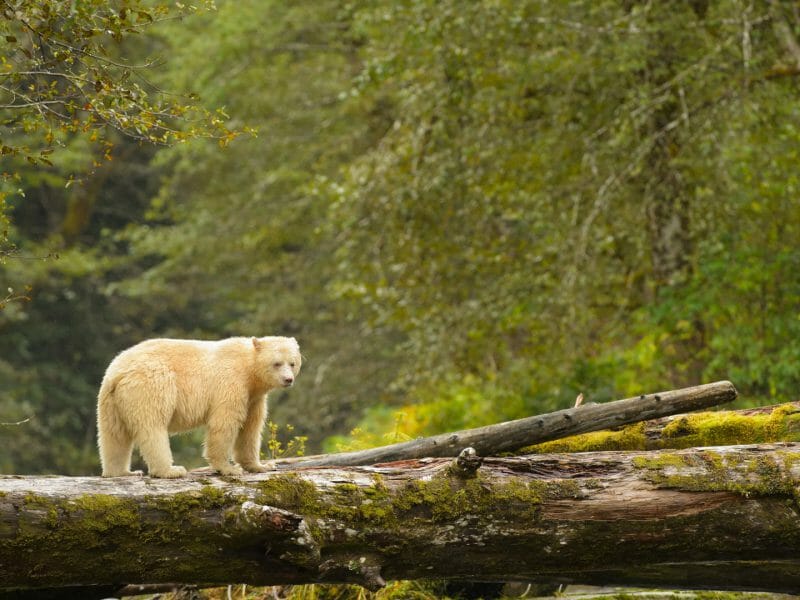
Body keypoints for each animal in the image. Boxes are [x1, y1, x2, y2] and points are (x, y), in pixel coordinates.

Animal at [96, 336, 301, 478]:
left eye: (292, 363)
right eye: (277, 363)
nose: (288, 379)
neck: (249, 371)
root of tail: (118, 373)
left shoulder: (253, 398)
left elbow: (250, 428)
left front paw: (261, 466)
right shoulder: (231, 383)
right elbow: (224, 423)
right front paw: (229, 468)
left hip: (111, 401)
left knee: (114, 435)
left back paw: (122, 472)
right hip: (151, 386)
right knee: (153, 428)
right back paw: (170, 470)